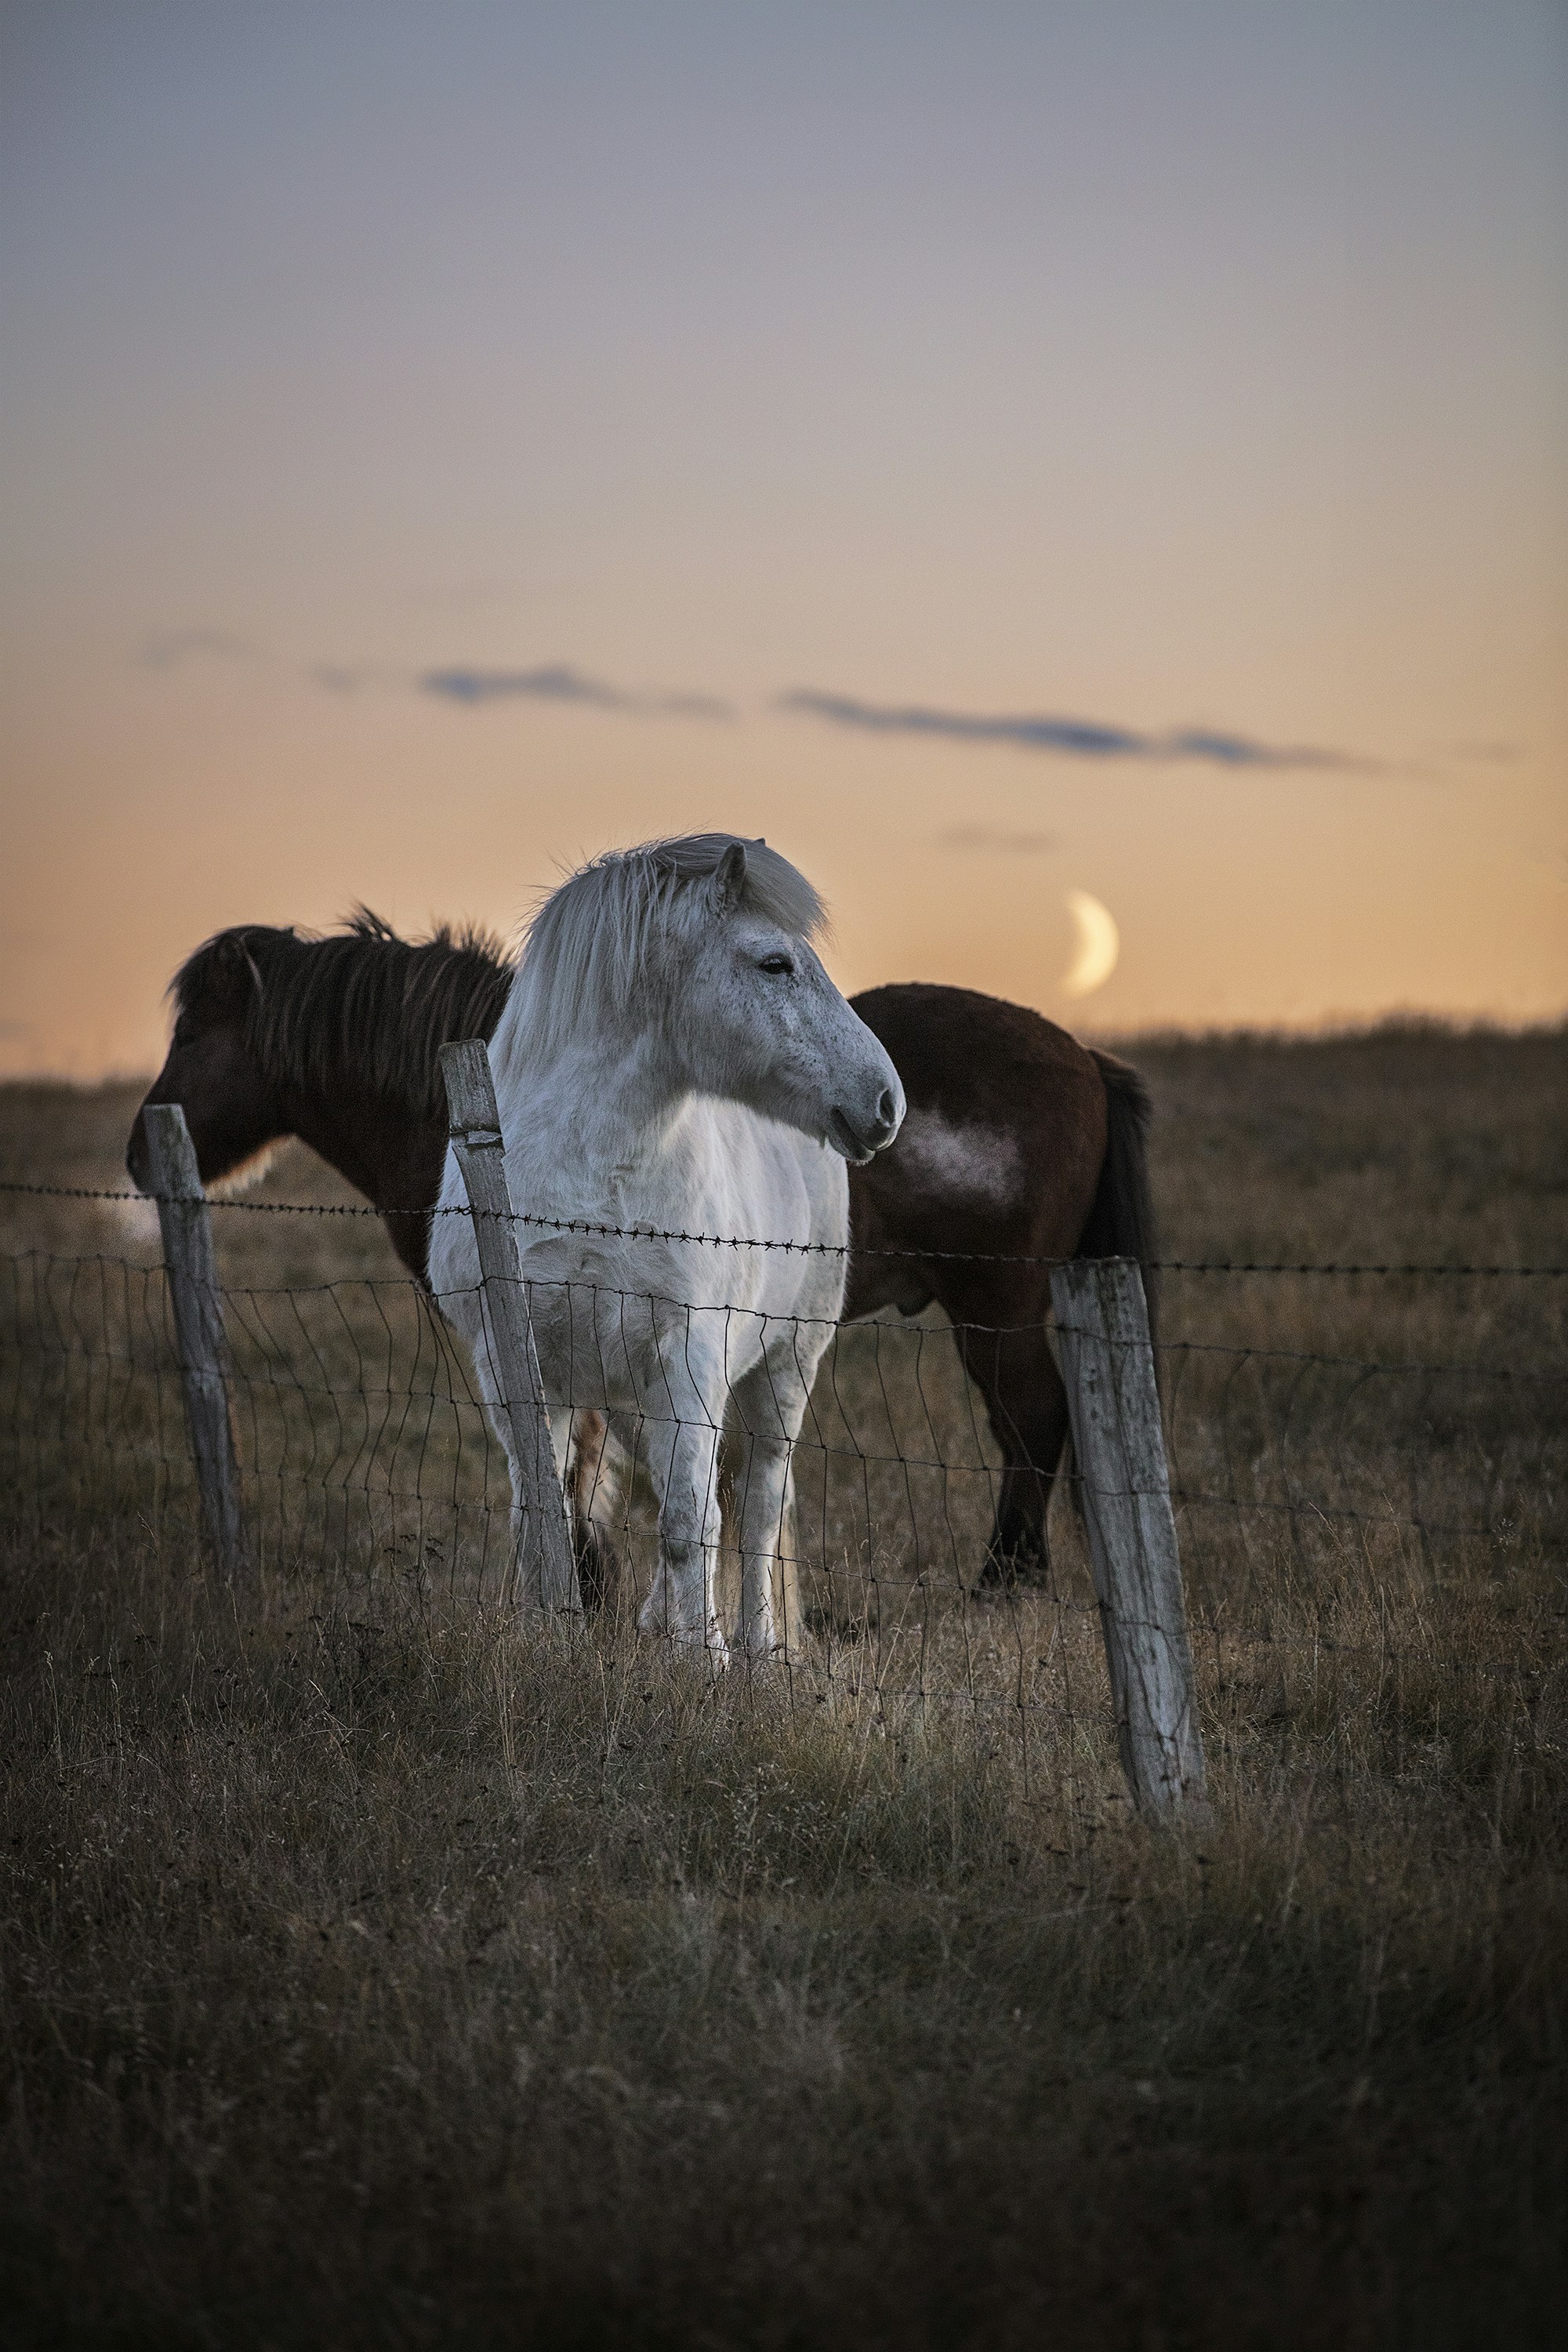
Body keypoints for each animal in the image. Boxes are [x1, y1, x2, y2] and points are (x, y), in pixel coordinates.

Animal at [129, 905, 1154, 1587]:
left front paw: (592, 1590)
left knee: (1032, 1428)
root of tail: (1084, 1060)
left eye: (192, 1029)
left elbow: (584, 1474)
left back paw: (1004, 1583)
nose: (138, 1150)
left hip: (996, 1314)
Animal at [427, 834, 904, 1658]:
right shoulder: (516, 1363)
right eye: (774, 963)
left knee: (756, 1507)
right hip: (635, 1396)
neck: (592, 1175)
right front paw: (544, 1642)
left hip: (784, 1367)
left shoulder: (689, 1354)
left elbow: (692, 1524)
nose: (885, 1101)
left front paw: (703, 1663)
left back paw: (755, 1649)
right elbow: (541, 1516)